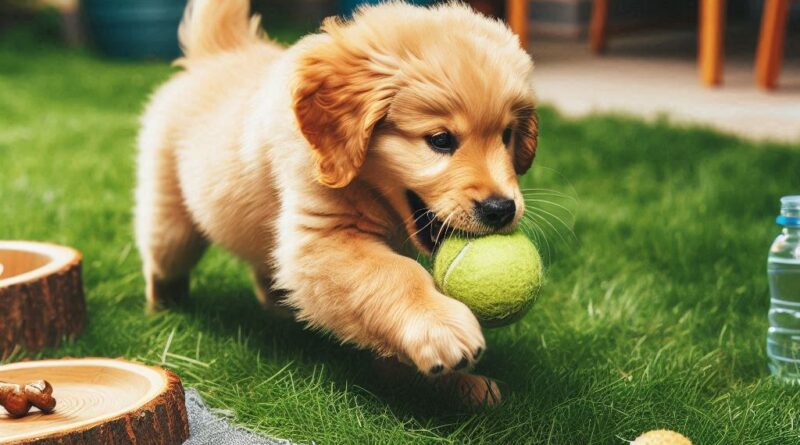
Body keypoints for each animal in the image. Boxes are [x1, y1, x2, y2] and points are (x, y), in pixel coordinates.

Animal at [136, 0, 536, 402]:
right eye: (440, 140)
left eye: (506, 135)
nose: (501, 209)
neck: (371, 187)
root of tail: (221, 49)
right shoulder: (323, 238)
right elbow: (396, 274)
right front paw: (440, 327)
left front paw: (450, 385)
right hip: (171, 225)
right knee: (162, 264)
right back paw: (162, 312)